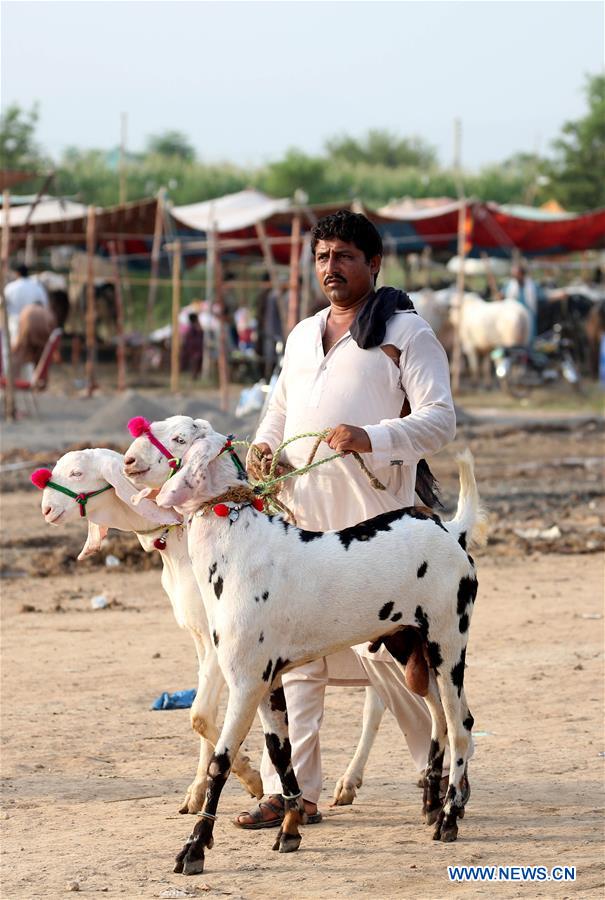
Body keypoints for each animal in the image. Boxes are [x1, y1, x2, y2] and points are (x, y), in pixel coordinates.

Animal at [33, 450, 262, 816]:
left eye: (77, 473)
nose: (47, 510)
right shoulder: (200, 638)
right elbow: (206, 715)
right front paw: (198, 792)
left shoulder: (222, 640)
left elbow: (199, 715)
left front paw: (253, 778)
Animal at [152, 424, 486, 880]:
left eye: (180, 436)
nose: (129, 457)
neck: (237, 544)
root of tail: (449, 532)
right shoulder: (269, 685)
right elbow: (283, 756)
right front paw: (290, 827)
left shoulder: (245, 684)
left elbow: (221, 762)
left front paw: (195, 847)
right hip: (411, 653)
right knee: (437, 718)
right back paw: (432, 805)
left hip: (448, 649)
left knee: (460, 726)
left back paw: (450, 817)